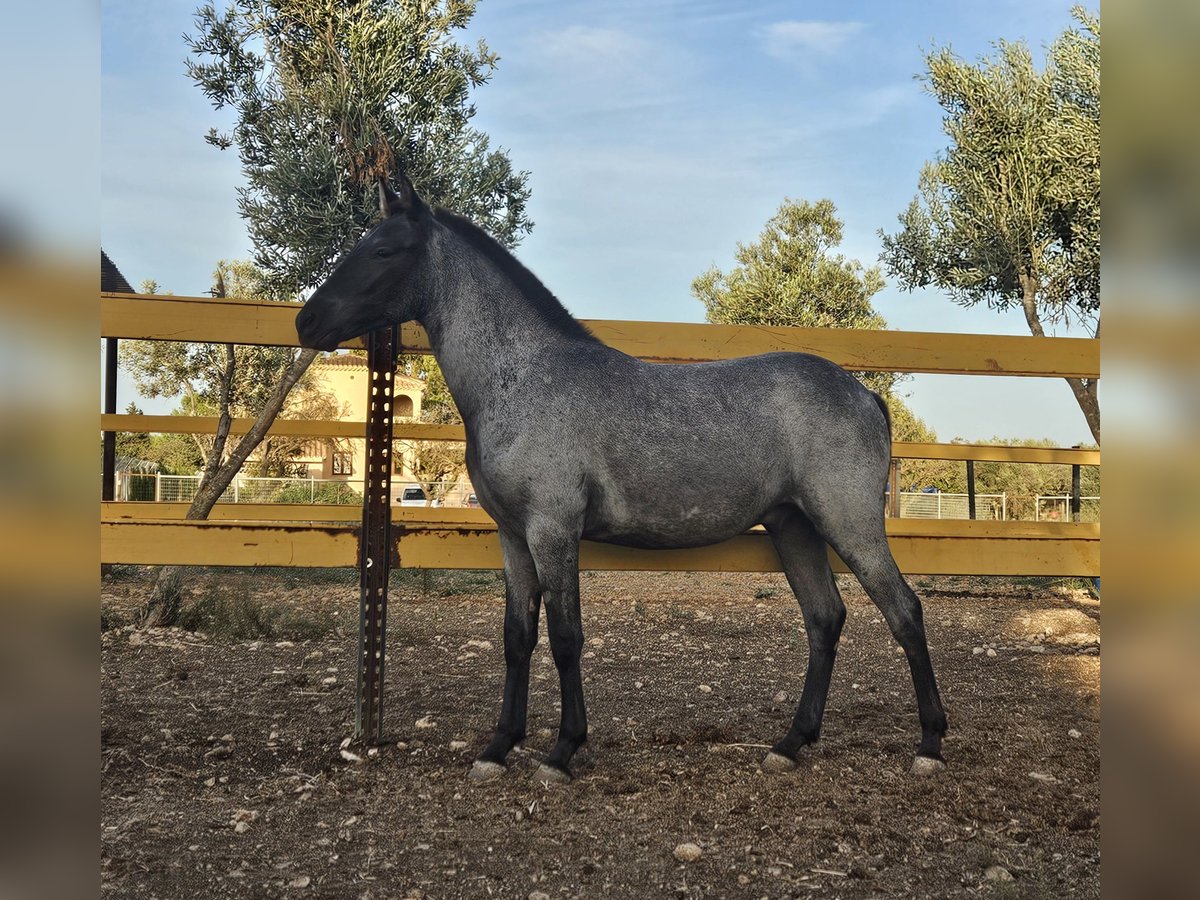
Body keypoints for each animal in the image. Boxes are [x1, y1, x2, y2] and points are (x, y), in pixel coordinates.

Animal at [292, 174, 945, 782]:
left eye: (383, 250)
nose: (307, 321)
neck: (523, 378)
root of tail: (863, 393)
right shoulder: (513, 537)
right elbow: (517, 637)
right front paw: (498, 748)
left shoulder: (553, 531)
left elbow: (565, 637)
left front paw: (561, 751)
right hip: (794, 527)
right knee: (824, 619)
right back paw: (790, 743)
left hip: (849, 524)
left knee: (905, 612)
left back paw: (931, 743)